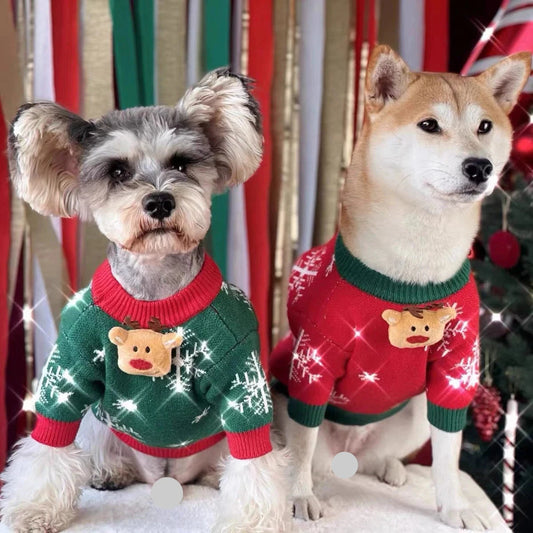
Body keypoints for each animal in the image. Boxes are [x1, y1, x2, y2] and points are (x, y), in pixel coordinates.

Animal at [1, 68, 286, 528]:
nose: (159, 201)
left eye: (181, 163)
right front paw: (34, 510)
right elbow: (49, 441)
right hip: (99, 423)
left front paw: (251, 522)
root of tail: (163, 476)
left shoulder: (241, 375)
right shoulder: (68, 369)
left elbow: (255, 457)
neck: (155, 293)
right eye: (117, 171)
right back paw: (108, 472)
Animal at [272, 45, 528, 528]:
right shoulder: (315, 359)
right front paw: (298, 496)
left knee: (380, 458)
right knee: (303, 451)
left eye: (485, 127)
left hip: (414, 412)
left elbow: (447, 457)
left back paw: (390, 469)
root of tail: (348, 455)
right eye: (429, 125)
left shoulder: (455, 367)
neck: (412, 275)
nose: (480, 166)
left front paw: (455, 508)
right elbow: (302, 443)